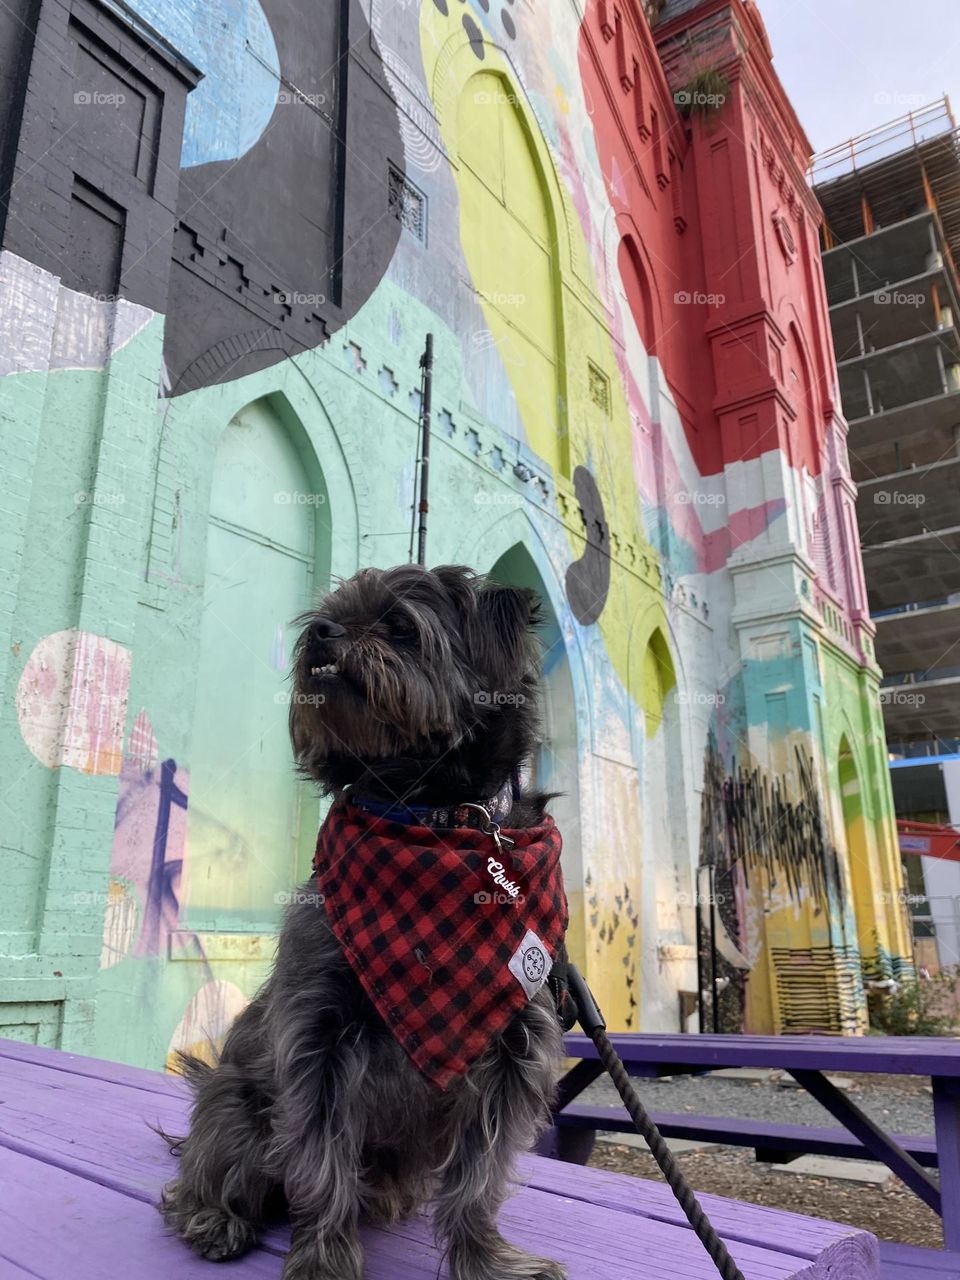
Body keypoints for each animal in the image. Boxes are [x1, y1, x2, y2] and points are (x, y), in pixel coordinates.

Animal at [160, 564, 570, 1280]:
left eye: (399, 625)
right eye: (323, 617)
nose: (322, 634)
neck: (429, 817)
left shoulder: (514, 1052)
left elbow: (478, 1180)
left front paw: (484, 1260)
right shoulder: (316, 1039)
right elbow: (322, 1164)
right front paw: (324, 1261)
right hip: (236, 1107)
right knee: (210, 1171)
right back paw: (215, 1218)